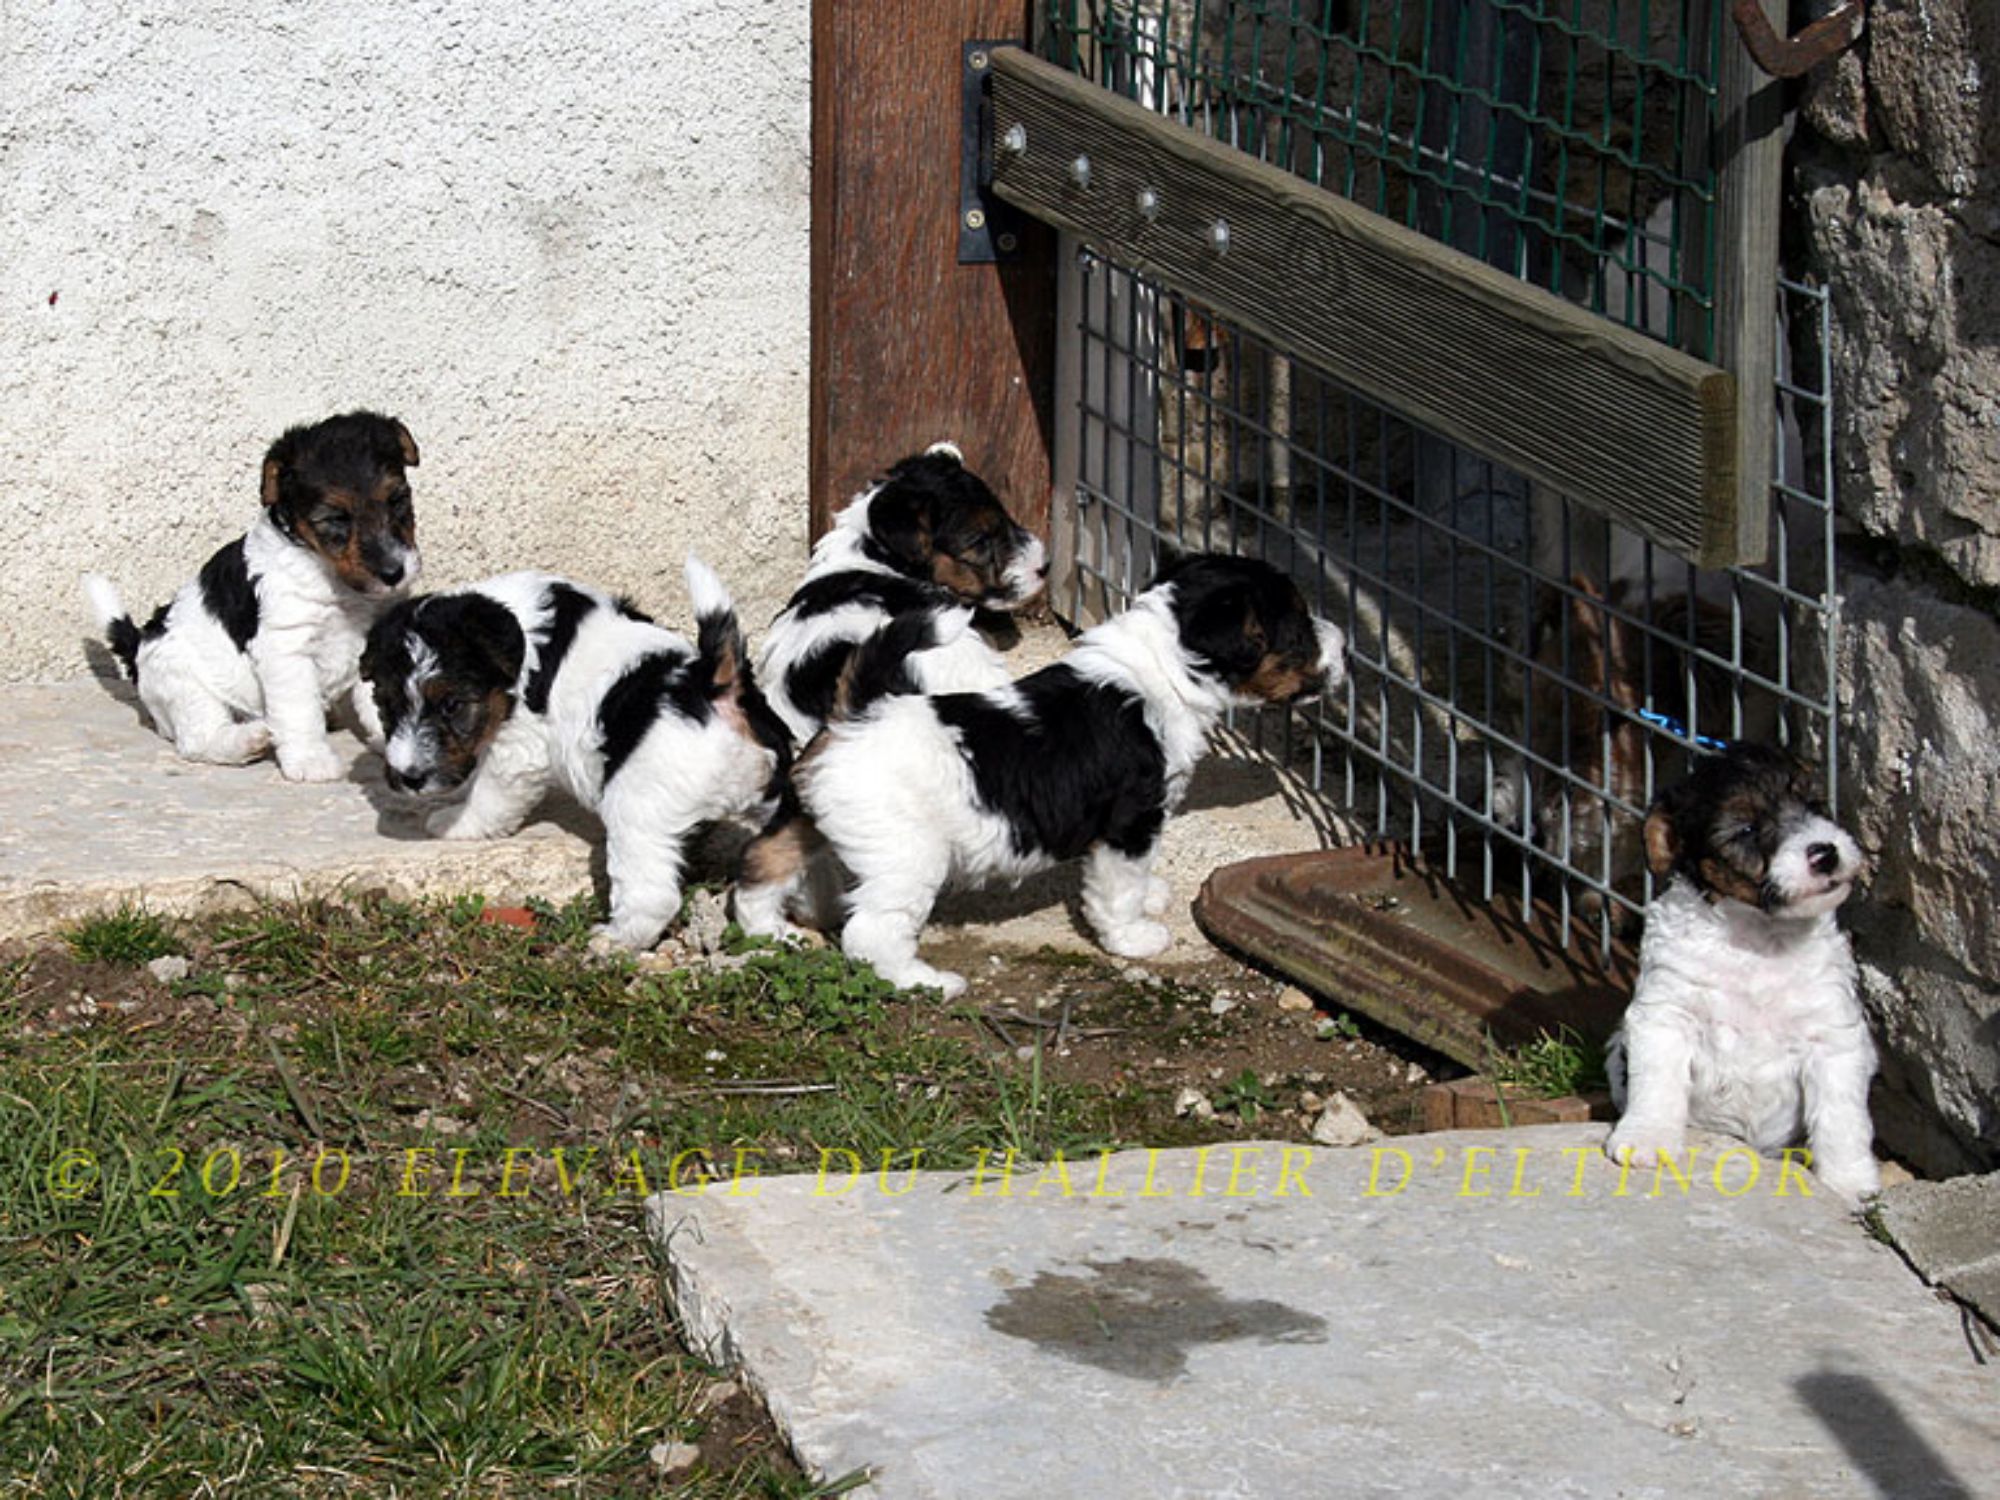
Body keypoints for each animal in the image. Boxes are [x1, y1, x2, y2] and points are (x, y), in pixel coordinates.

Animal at [84, 410, 422, 782]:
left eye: (398, 500)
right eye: (334, 518)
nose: (394, 573)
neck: (332, 578)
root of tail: (140, 642)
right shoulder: (286, 647)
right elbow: (299, 711)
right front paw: (310, 760)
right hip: (185, 684)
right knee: (200, 739)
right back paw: (249, 739)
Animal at [360, 558, 789, 952]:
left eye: (452, 705)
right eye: (386, 706)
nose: (408, 777)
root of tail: (715, 688)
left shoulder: (518, 749)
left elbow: (489, 798)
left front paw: (455, 823)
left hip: (637, 812)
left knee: (654, 895)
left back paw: (615, 941)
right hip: (780, 806)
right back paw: (770, 931)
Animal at [735, 552, 1346, 997]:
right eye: (1296, 629)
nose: (1344, 642)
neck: (1158, 670)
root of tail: (858, 716)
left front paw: (1152, 897)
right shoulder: (1131, 822)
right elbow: (1119, 889)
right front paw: (1134, 937)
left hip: (803, 820)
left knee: (761, 871)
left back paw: (771, 931)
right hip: (907, 858)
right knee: (873, 932)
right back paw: (926, 983)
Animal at [1603, 741, 1880, 1200]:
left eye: (1813, 803)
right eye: (1746, 830)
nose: (1826, 853)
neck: (1759, 939)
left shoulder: (1833, 1037)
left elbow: (1840, 1116)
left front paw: (1849, 1182)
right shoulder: (1665, 1014)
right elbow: (1656, 1082)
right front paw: (1646, 1140)